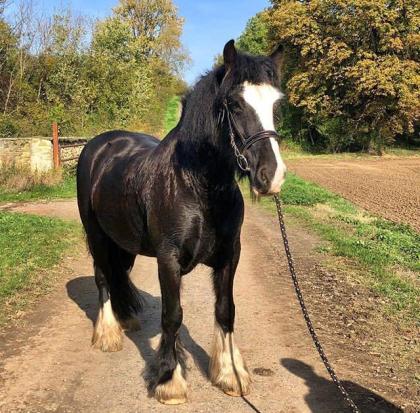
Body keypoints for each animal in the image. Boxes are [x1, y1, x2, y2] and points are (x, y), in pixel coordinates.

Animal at [77, 40, 288, 404]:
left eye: (275, 102)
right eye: (235, 104)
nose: (271, 176)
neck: (198, 186)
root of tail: (99, 145)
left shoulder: (230, 256)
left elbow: (225, 310)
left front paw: (230, 374)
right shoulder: (169, 260)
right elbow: (173, 316)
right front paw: (169, 381)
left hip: (123, 241)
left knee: (120, 274)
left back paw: (127, 319)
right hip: (98, 236)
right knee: (103, 277)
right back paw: (108, 334)